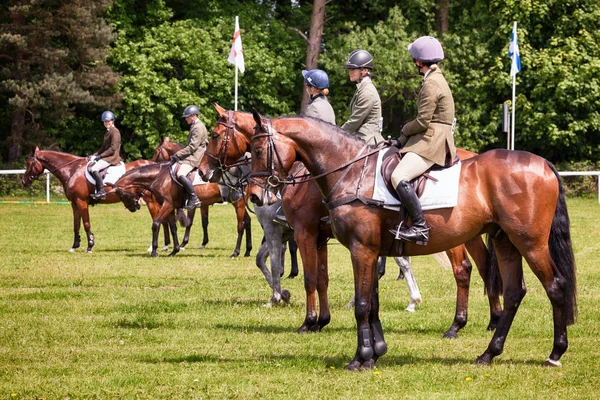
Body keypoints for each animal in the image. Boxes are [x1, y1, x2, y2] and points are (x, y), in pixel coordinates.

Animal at [22, 147, 161, 253]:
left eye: (29, 163)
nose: (24, 181)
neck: (72, 170)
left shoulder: (81, 202)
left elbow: (86, 223)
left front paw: (90, 246)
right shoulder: (74, 204)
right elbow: (76, 225)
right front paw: (74, 246)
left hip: (150, 201)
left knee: (156, 219)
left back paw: (151, 248)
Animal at [200, 104, 502, 336]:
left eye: (214, 135)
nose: (203, 171)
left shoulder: (296, 232)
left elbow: (293, 272)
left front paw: (294, 310)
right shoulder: (317, 237)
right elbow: (320, 278)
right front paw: (321, 320)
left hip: (451, 235)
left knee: (462, 270)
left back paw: (455, 324)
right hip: (469, 233)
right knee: (484, 267)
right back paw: (492, 320)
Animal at [247, 111, 576, 368]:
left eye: (260, 150)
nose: (254, 195)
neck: (351, 170)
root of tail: (543, 163)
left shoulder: (357, 248)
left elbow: (361, 304)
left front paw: (358, 358)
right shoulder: (370, 249)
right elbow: (372, 303)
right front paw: (375, 354)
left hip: (529, 243)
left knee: (554, 286)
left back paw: (555, 353)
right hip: (504, 242)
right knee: (513, 292)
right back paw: (489, 353)